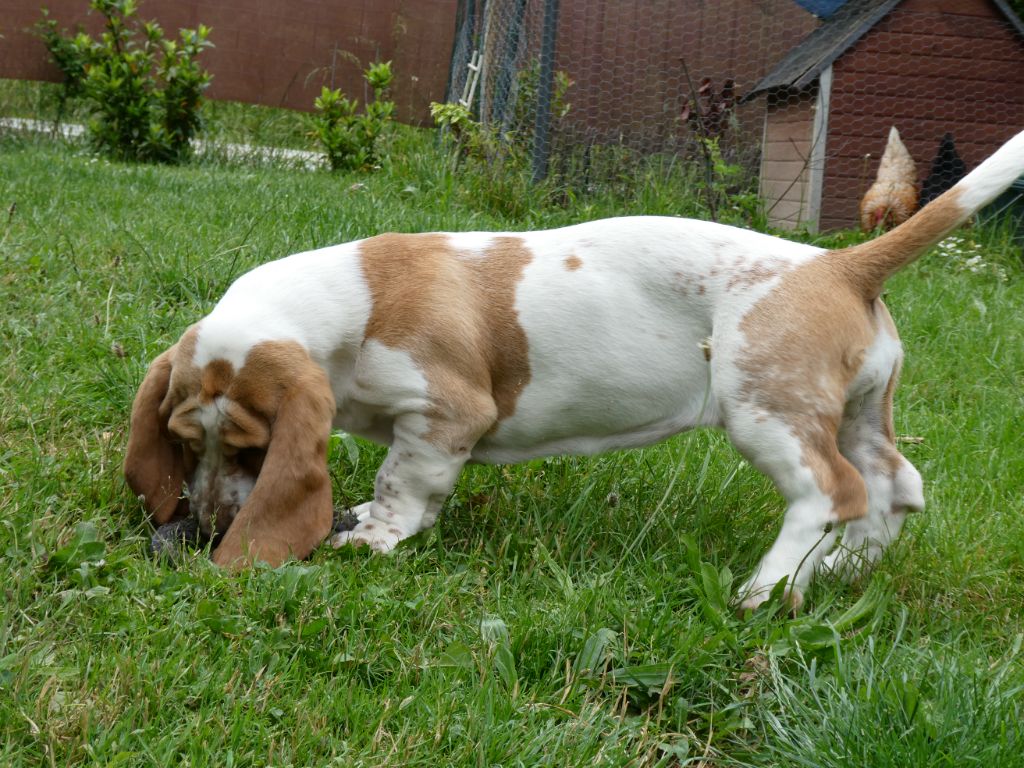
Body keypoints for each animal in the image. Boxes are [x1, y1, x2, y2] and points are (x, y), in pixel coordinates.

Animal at [123, 129, 1019, 610]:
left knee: (831, 492)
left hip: (764, 411)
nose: (206, 529)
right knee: (893, 488)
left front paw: (374, 537)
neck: (348, 308)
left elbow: (401, 483)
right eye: (185, 441)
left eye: (252, 446)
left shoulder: (442, 415)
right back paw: (832, 571)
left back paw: (766, 590)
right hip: (858, 411)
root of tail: (841, 265)